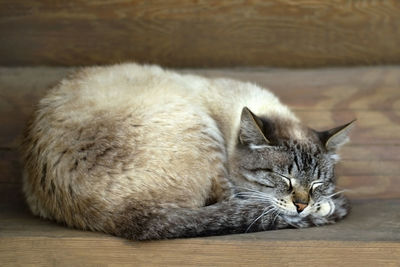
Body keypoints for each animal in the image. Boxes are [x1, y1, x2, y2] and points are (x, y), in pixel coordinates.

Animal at [21, 63, 354, 241]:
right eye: (283, 179)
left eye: (317, 183)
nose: (302, 205)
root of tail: (126, 216)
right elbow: (251, 203)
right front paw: (323, 208)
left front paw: (320, 204)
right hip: (197, 122)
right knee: (229, 204)